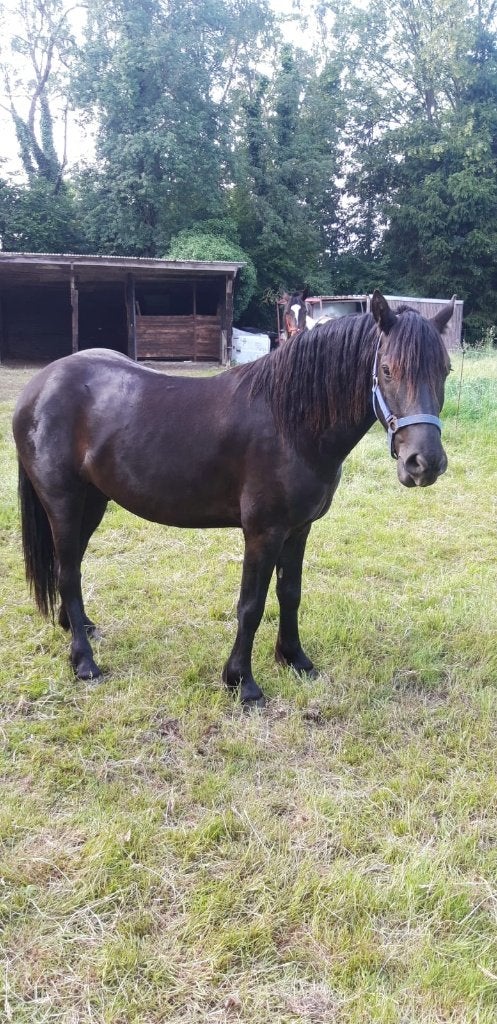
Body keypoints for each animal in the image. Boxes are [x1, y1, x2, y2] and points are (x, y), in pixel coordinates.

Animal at [12, 291, 454, 706]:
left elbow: (290, 594)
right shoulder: (263, 532)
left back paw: (77, 627)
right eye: (387, 369)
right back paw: (84, 661)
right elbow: (251, 605)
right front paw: (242, 682)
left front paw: (295, 659)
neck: (290, 423)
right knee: (67, 573)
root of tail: (39, 385)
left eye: (445, 369)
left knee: (69, 566)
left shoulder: (298, 529)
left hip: (93, 503)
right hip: (64, 502)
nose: (424, 463)